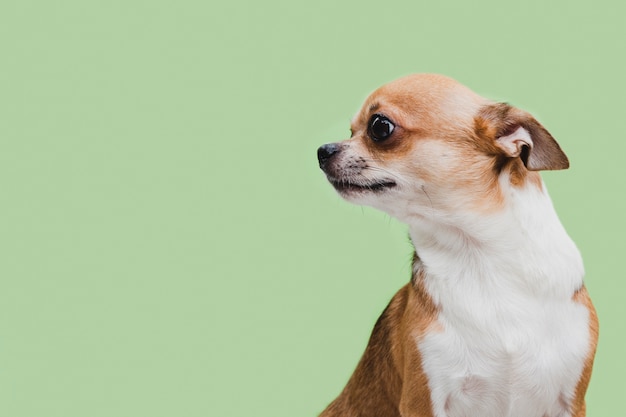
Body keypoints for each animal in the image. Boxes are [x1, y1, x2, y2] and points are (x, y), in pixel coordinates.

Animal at [314, 75, 596, 416]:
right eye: (350, 131)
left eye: (380, 127)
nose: (322, 150)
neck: (480, 259)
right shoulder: (425, 400)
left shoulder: (571, 401)